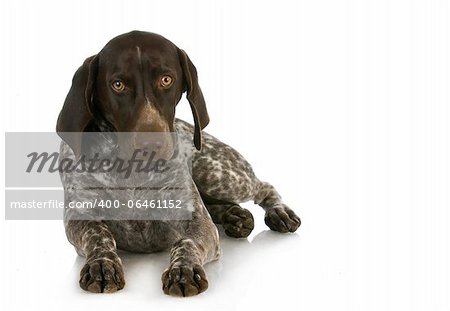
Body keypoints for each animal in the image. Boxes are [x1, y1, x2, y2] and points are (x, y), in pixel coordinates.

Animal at [57, 31, 302, 298]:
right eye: (118, 85)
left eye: (166, 80)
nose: (151, 144)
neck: (133, 174)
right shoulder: (80, 217)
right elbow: (98, 235)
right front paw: (102, 264)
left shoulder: (197, 221)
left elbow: (186, 241)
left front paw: (184, 270)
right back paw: (234, 215)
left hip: (219, 175)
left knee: (264, 186)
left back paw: (278, 212)